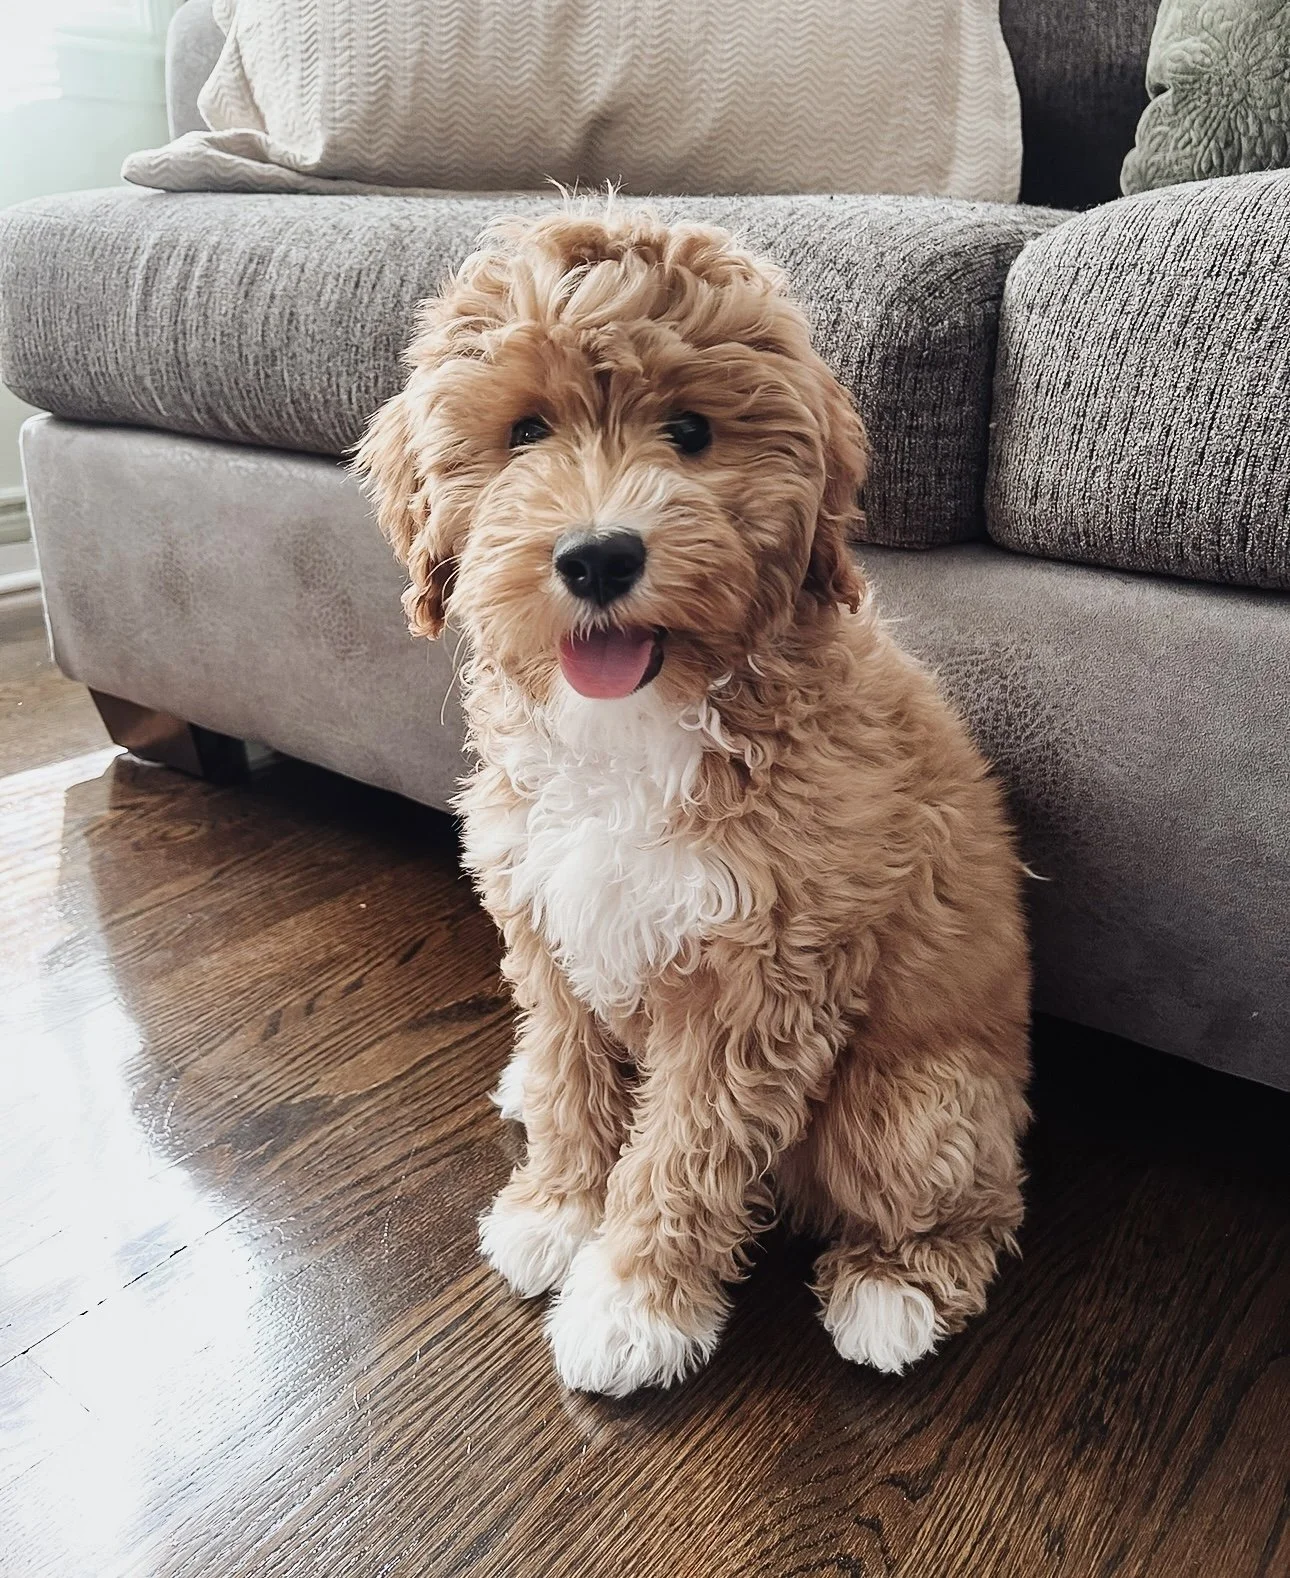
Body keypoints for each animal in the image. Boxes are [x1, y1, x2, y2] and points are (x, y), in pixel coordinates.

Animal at [355, 208, 1030, 1398]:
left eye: (691, 431)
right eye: (524, 430)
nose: (598, 556)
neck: (636, 727)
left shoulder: (761, 977)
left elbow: (686, 1150)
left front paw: (632, 1306)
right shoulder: (543, 912)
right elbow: (573, 1072)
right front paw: (557, 1209)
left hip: (909, 1109)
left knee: (974, 1203)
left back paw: (894, 1293)